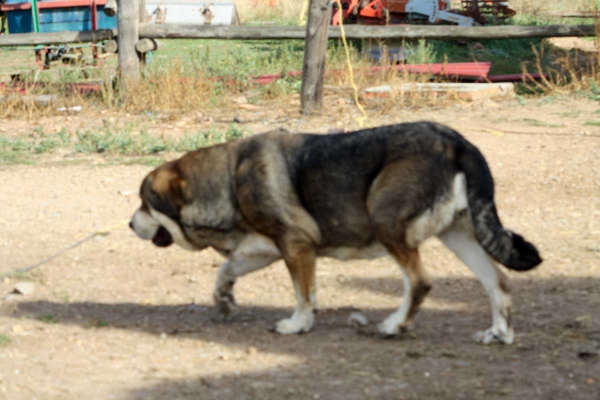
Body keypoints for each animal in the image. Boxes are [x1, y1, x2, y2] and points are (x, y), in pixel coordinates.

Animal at [131, 122, 544, 344]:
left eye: (144, 202)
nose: (129, 223)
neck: (229, 178)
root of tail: (458, 142)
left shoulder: (297, 246)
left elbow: (304, 294)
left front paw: (298, 324)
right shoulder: (263, 249)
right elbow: (225, 271)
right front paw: (224, 301)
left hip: (387, 221)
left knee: (420, 282)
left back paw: (395, 325)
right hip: (460, 237)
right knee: (498, 283)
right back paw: (499, 334)